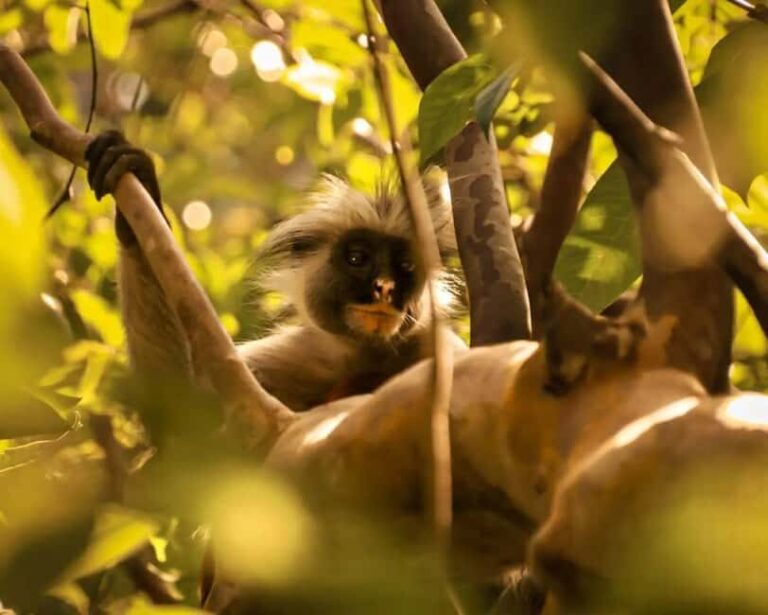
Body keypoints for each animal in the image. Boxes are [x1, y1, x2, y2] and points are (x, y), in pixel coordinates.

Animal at [85, 131, 466, 412]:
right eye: (357, 258)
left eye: (405, 266)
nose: (384, 286)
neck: (363, 355)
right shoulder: (298, 355)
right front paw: (139, 198)